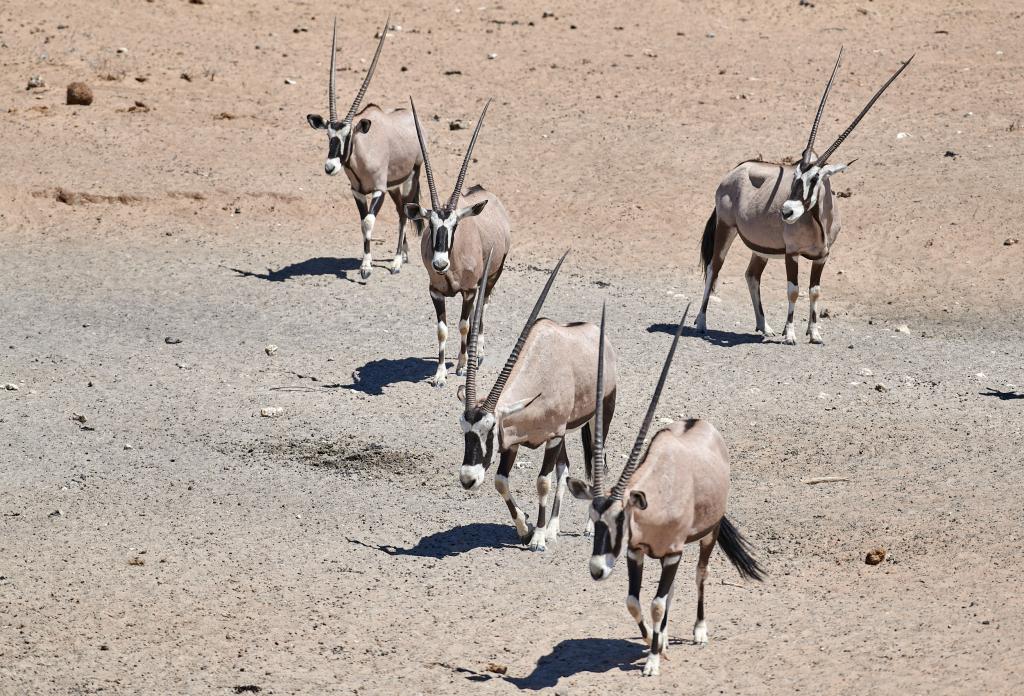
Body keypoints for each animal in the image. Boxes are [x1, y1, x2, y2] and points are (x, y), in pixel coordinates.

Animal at [309, 16, 425, 278]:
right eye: (328, 135)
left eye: (348, 135)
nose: (330, 167)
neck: (361, 156)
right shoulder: (358, 191)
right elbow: (363, 224)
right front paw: (366, 264)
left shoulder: (378, 189)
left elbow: (369, 222)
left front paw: (367, 269)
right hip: (394, 186)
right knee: (400, 211)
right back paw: (404, 254)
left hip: (410, 179)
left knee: (404, 213)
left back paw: (396, 261)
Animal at [401, 96, 509, 386]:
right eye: (431, 224)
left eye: (455, 226)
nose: (439, 264)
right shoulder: (436, 292)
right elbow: (442, 330)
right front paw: (439, 375)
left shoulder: (470, 290)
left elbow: (463, 324)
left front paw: (461, 366)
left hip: (492, 277)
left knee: (481, 310)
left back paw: (477, 353)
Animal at [456, 249, 614, 548]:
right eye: (463, 429)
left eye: (489, 429)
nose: (468, 480)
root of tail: (597, 335)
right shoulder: (514, 441)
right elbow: (501, 481)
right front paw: (526, 528)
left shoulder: (551, 437)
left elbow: (542, 482)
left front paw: (538, 538)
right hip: (564, 434)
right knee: (564, 469)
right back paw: (553, 527)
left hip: (598, 419)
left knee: (596, 466)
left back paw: (586, 527)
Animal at [565, 305, 765, 675]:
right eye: (593, 519)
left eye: (620, 518)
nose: (597, 570)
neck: (655, 501)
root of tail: (701, 424)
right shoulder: (638, 552)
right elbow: (635, 601)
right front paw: (652, 641)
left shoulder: (672, 553)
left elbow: (657, 603)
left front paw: (654, 660)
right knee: (669, 594)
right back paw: (666, 637)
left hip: (708, 534)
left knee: (700, 574)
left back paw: (698, 631)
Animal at [696, 48, 913, 341]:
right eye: (795, 175)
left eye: (816, 178)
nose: (786, 211)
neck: (819, 221)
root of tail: (733, 173)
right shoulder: (792, 253)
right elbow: (794, 290)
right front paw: (790, 334)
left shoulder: (822, 257)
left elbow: (814, 291)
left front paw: (815, 333)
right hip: (725, 228)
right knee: (713, 269)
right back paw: (701, 322)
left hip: (760, 249)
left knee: (752, 275)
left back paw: (764, 326)